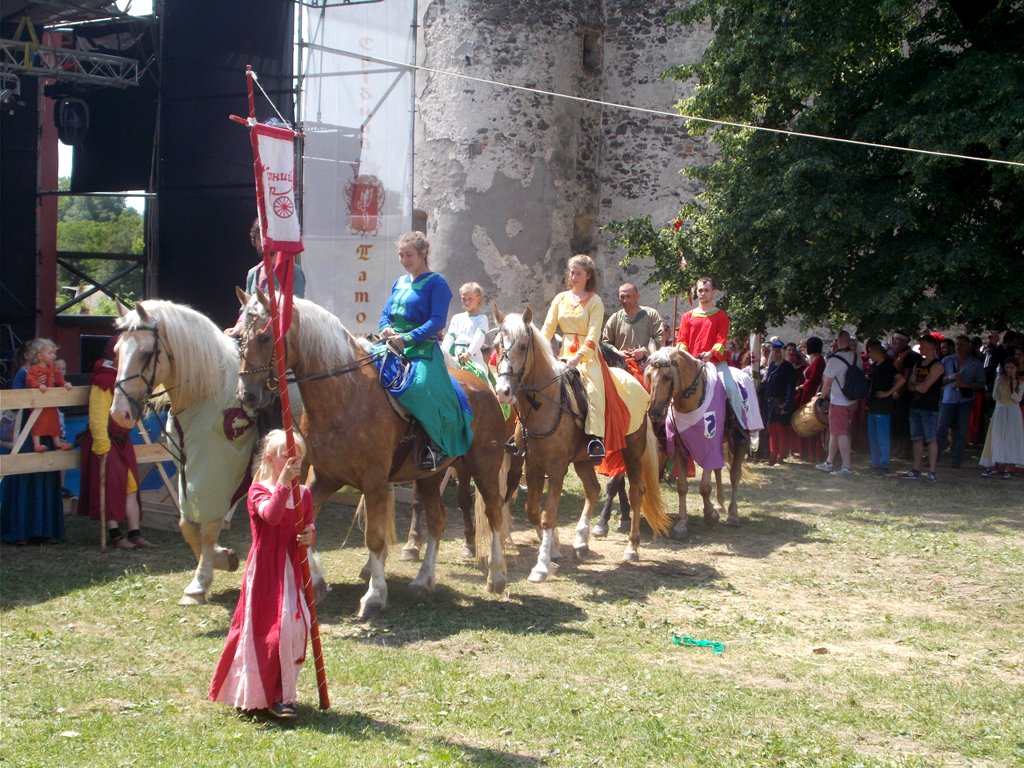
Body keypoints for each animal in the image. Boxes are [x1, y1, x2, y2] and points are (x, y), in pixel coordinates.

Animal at [108, 301, 258, 606]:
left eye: (146, 353)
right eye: (117, 351)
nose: (120, 413)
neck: (208, 391)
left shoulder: (217, 471)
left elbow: (209, 527)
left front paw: (199, 584)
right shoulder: (186, 468)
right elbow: (187, 525)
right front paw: (223, 558)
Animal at [237, 290, 512, 618]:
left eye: (266, 337)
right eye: (239, 337)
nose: (247, 395)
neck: (344, 394)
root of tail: (486, 388)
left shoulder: (374, 482)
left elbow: (375, 537)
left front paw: (374, 594)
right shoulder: (324, 478)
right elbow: (306, 521)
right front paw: (316, 582)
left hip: (483, 467)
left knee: (494, 512)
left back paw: (496, 577)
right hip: (431, 476)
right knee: (437, 520)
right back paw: (423, 580)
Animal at [489, 307, 667, 581]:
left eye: (522, 346)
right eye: (498, 345)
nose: (503, 391)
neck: (544, 404)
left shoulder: (556, 468)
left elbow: (548, 515)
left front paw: (542, 566)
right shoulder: (532, 466)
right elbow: (533, 511)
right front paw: (553, 549)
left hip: (633, 453)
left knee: (636, 492)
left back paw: (632, 548)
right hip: (583, 459)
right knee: (593, 489)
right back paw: (581, 542)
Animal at [643, 346, 757, 536]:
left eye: (667, 377)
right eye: (649, 375)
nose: (655, 412)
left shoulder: (709, 447)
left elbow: (704, 487)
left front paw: (710, 516)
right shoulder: (679, 449)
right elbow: (682, 486)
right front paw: (682, 524)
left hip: (740, 440)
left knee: (734, 474)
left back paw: (732, 515)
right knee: (719, 470)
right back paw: (719, 504)